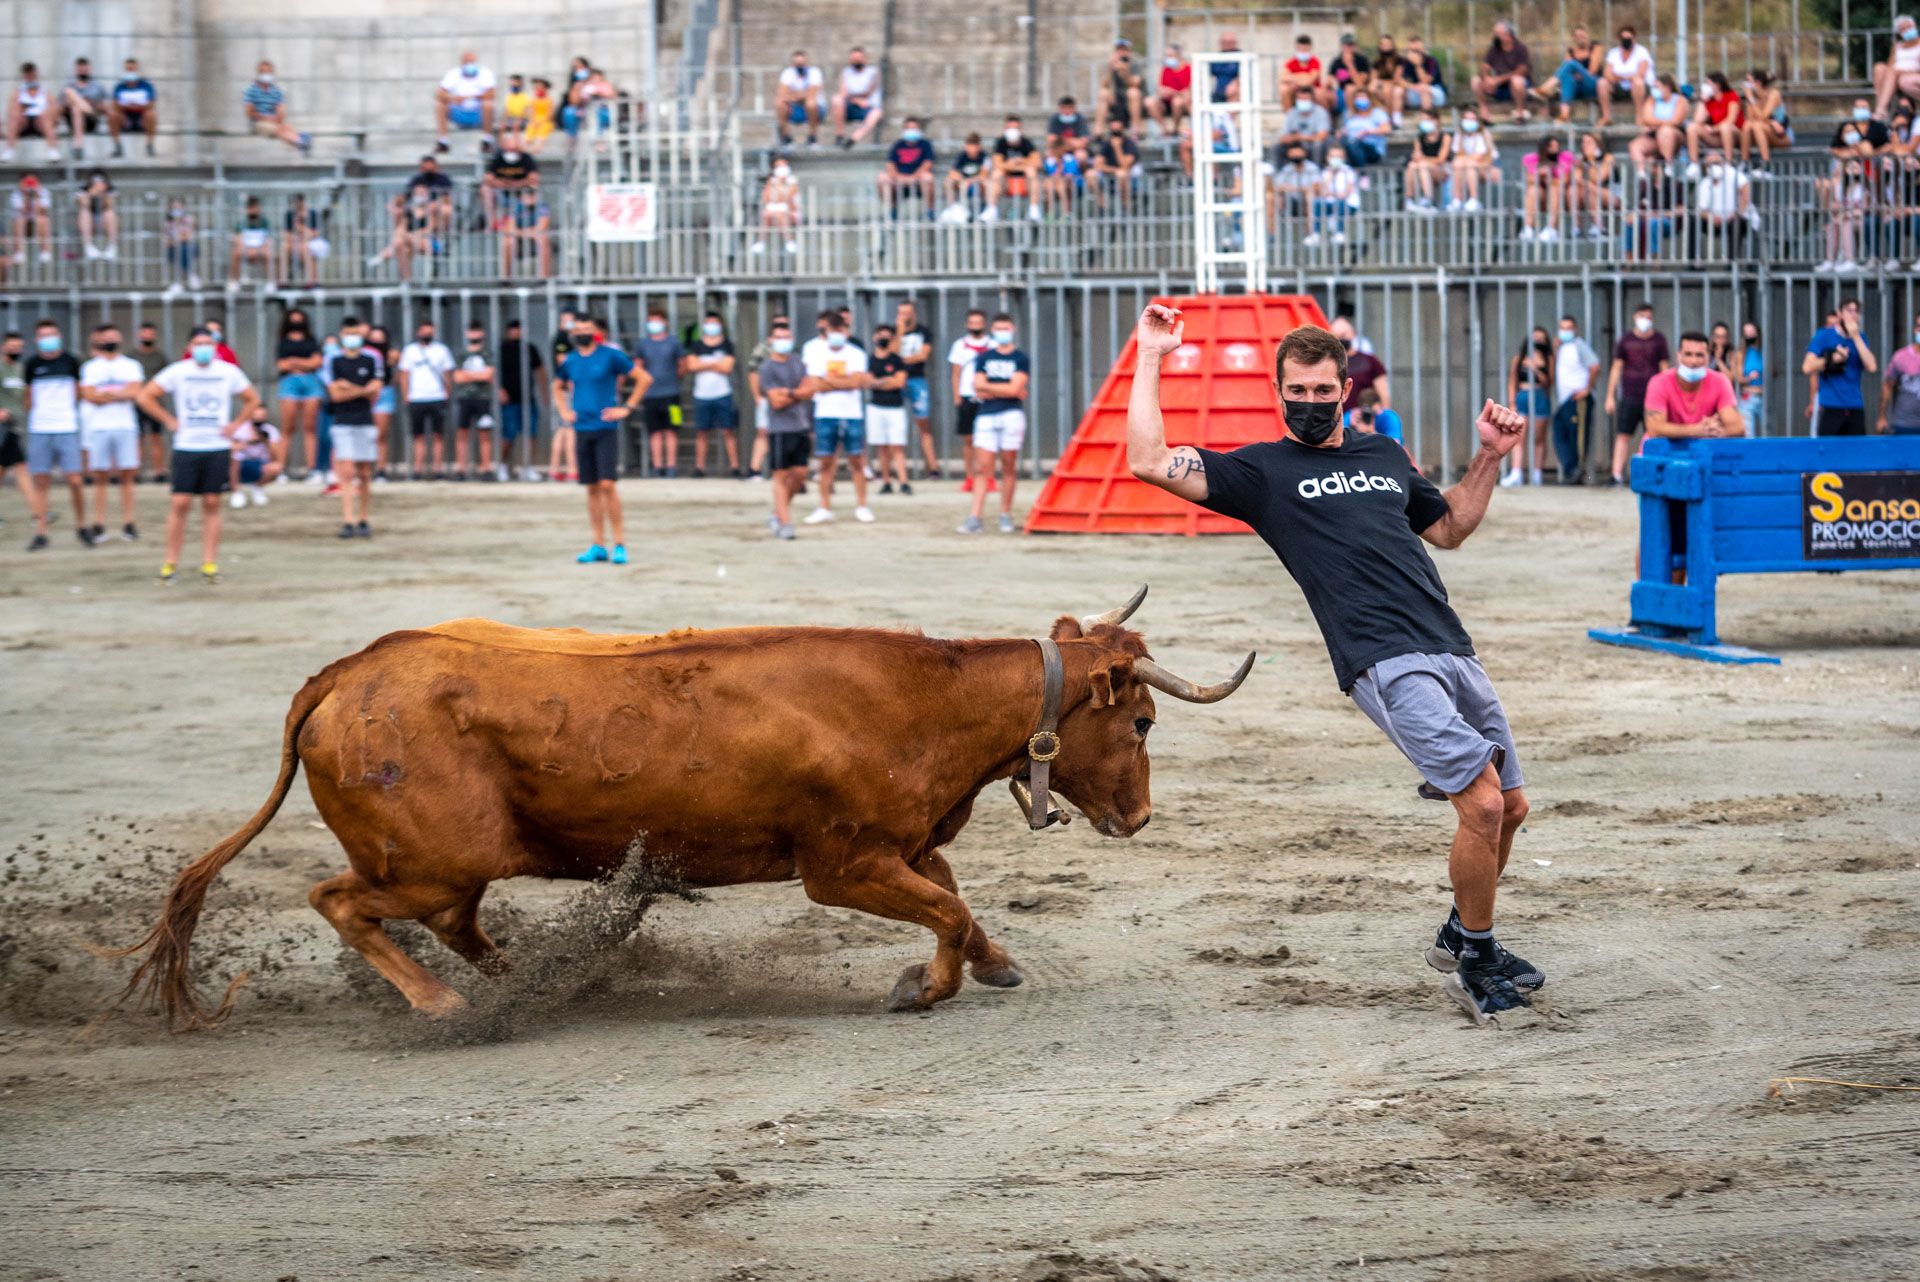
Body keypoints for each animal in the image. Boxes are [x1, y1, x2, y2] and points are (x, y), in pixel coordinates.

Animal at [108, 587, 1244, 1028]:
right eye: (1144, 722)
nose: (1140, 819)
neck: (922, 702)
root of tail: (348, 673)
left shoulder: (899, 846)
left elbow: (956, 900)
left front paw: (987, 966)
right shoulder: (842, 867)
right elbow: (949, 907)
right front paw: (924, 988)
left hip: (459, 866)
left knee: (457, 926)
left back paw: (544, 983)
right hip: (431, 859)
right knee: (342, 901)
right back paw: (447, 1008)